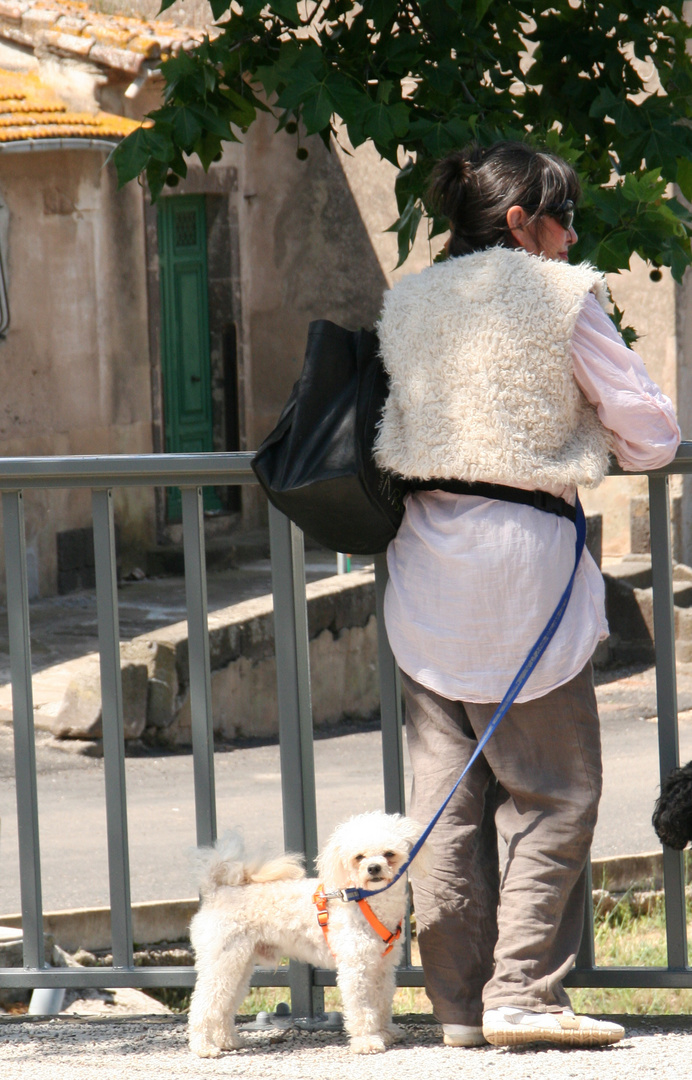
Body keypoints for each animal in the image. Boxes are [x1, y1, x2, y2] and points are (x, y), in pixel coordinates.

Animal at [185, 812, 429, 1054]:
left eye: (389, 854)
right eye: (359, 857)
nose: (374, 868)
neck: (364, 899)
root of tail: (216, 891)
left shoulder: (382, 968)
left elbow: (382, 1004)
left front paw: (386, 1032)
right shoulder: (355, 968)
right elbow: (362, 1009)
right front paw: (367, 1041)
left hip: (238, 964)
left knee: (225, 1005)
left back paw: (227, 1040)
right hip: (221, 961)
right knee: (202, 1005)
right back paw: (203, 1046)